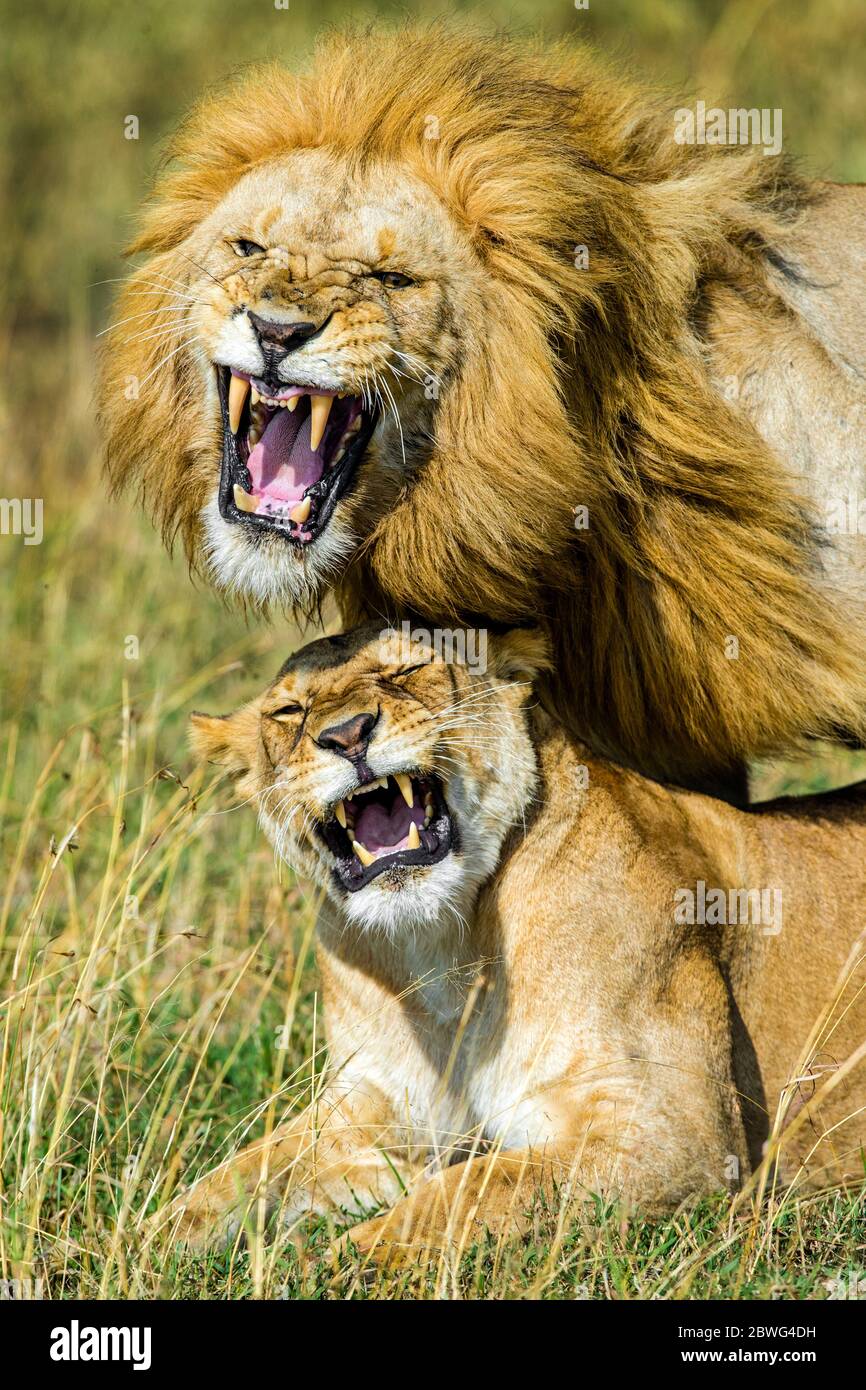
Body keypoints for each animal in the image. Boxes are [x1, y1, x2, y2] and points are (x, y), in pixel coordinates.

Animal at [164, 622, 866, 1262]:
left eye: (408, 669)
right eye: (288, 712)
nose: (346, 734)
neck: (440, 945)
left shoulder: (681, 1136)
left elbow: (471, 1188)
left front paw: (342, 1259)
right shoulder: (374, 1101)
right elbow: (240, 1174)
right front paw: (153, 1242)